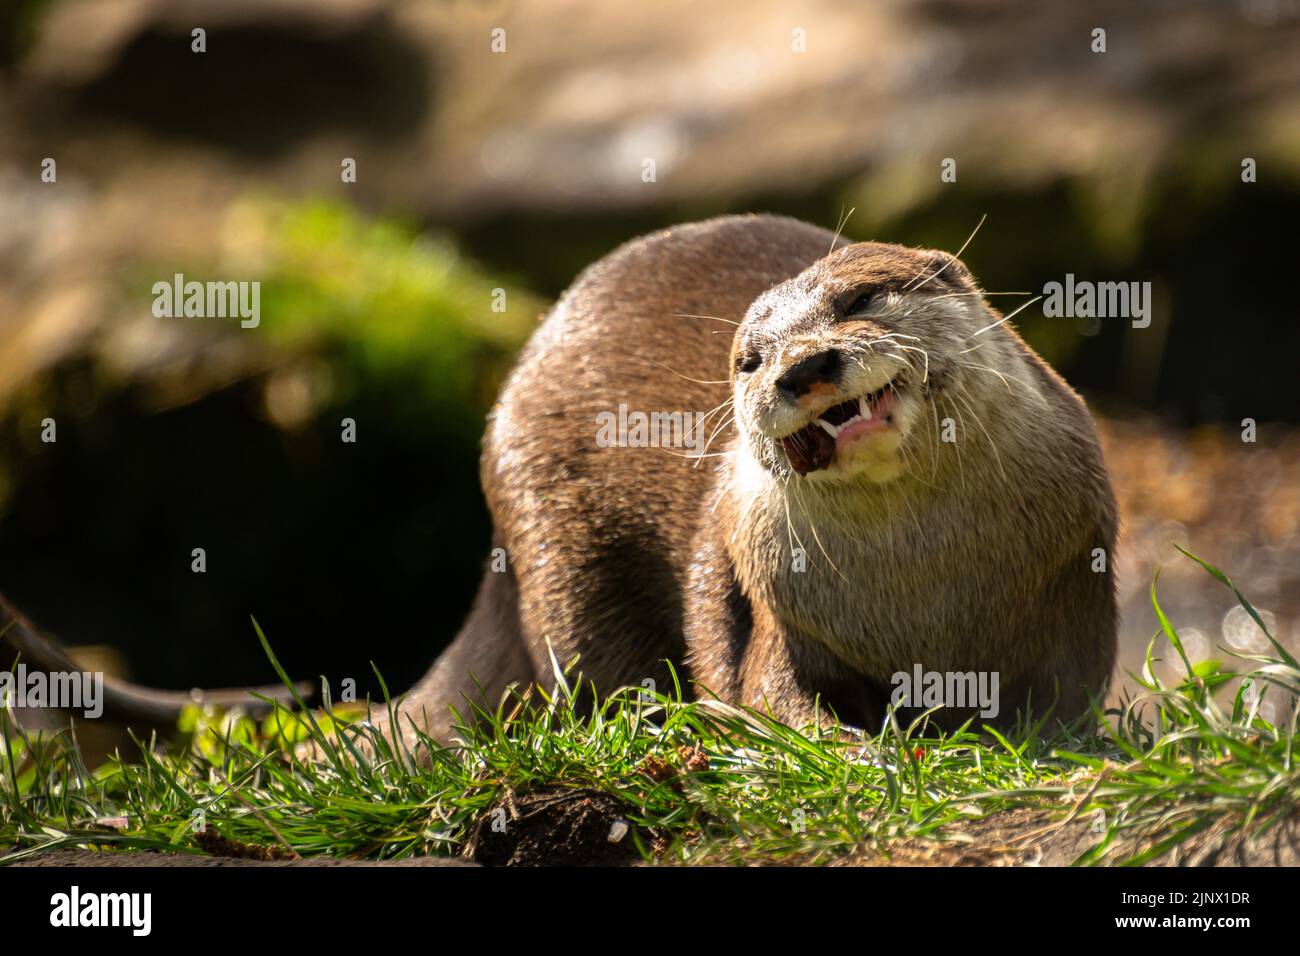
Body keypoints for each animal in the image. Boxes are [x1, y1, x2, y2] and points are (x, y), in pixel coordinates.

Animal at [1, 215, 1117, 739]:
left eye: (856, 298)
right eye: (748, 358)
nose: (800, 368)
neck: (927, 600)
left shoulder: (1078, 577)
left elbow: (1068, 692)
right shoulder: (775, 611)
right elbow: (773, 696)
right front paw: (856, 746)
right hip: (556, 541)